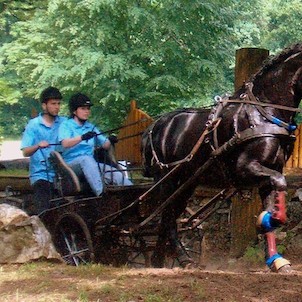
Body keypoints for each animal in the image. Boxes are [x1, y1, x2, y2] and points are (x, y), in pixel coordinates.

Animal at [141, 42, 302, 272]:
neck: (265, 112)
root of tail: (155, 126)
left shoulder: (269, 172)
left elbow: (273, 204)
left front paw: (275, 259)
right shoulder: (245, 167)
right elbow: (280, 186)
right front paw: (268, 221)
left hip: (186, 184)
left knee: (168, 216)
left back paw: (160, 259)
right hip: (167, 180)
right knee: (168, 217)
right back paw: (181, 258)